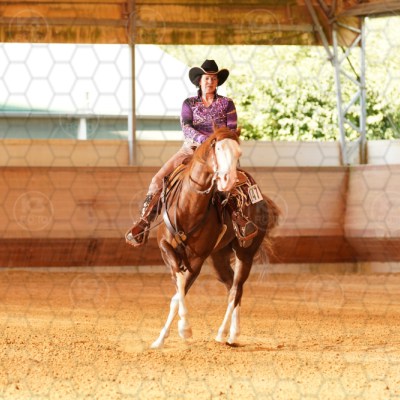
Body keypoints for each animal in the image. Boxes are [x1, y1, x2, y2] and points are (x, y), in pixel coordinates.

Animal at [151, 127, 280, 349]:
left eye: (239, 152)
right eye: (218, 148)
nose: (229, 179)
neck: (188, 208)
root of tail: (262, 200)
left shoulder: (197, 259)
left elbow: (178, 294)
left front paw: (185, 329)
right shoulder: (165, 247)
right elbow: (178, 285)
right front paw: (160, 339)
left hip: (245, 253)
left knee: (236, 289)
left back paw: (225, 333)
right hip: (219, 256)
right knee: (231, 286)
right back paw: (232, 333)